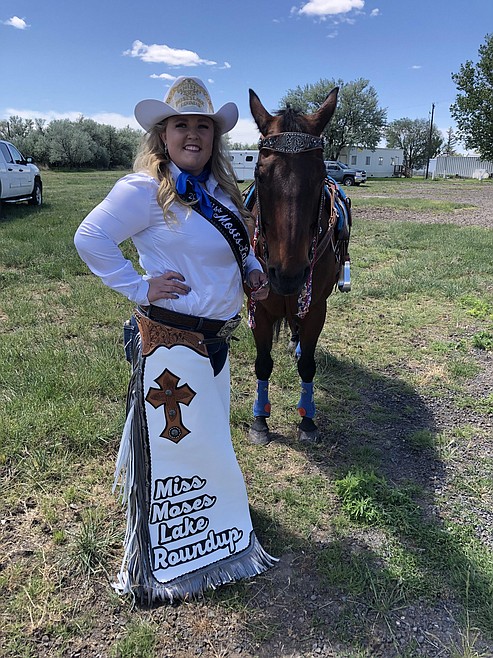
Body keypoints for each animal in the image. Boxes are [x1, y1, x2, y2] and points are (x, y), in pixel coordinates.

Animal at [246, 87, 350, 444]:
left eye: (320, 176)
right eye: (260, 174)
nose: (288, 274)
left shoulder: (316, 307)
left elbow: (308, 364)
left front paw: (308, 420)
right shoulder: (260, 309)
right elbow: (263, 363)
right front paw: (260, 420)